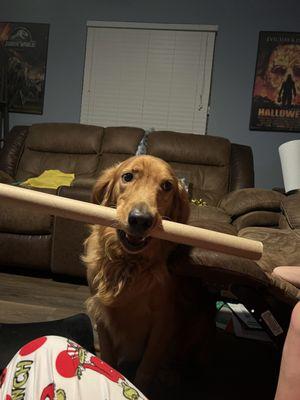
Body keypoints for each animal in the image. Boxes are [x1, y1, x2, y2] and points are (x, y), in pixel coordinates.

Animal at [83, 155, 214, 396]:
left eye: (167, 186)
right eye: (127, 176)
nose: (141, 219)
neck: (128, 263)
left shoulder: (162, 322)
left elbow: (146, 369)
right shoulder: (102, 314)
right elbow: (108, 355)